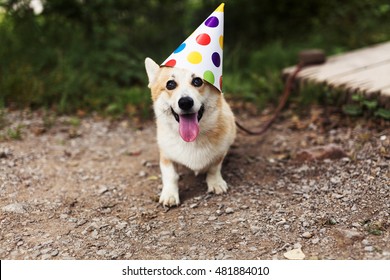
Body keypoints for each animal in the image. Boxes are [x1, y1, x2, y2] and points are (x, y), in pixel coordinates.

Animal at [145, 57, 236, 206]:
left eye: (197, 81)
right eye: (170, 84)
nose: (185, 102)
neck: (192, 140)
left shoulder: (221, 151)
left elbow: (214, 167)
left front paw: (215, 183)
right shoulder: (165, 154)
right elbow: (170, 175)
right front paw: (169, 194)